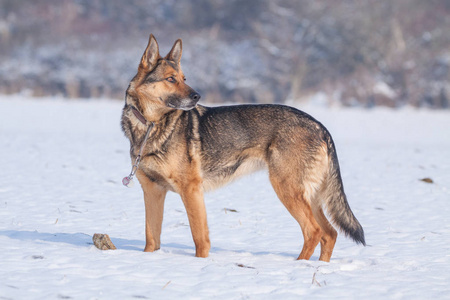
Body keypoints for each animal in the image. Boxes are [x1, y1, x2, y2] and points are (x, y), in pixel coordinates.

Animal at [120, 34, 366, 262]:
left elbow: (200, 239)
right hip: (309, 196)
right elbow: (151, 239)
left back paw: (298, 266)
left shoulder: (191, 190)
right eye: (171, 79)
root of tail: (320, 126)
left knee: (314, 232)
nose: (197, 96)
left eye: (184, 78)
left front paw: (200, 264)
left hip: (287, 189)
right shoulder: (153, 191)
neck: (151, 126)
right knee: (329, 233)